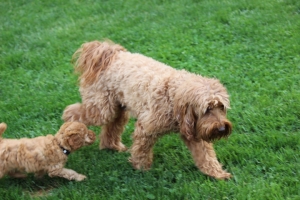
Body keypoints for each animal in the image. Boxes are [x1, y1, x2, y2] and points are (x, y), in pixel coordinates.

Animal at [62, 41, 232, 180]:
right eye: (207, 109)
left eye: (221, 107)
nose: (222, 129)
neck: (171, 95)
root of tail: (111, 54)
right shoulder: (146, 128)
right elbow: (142, 150)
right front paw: (142, 168)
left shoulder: (193, 130)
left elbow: (206, 155)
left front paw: (217, 173)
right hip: (102, 110)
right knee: (71, 112)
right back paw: (69, 131)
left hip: (118, 110)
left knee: (111, 128)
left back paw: (112, 146)